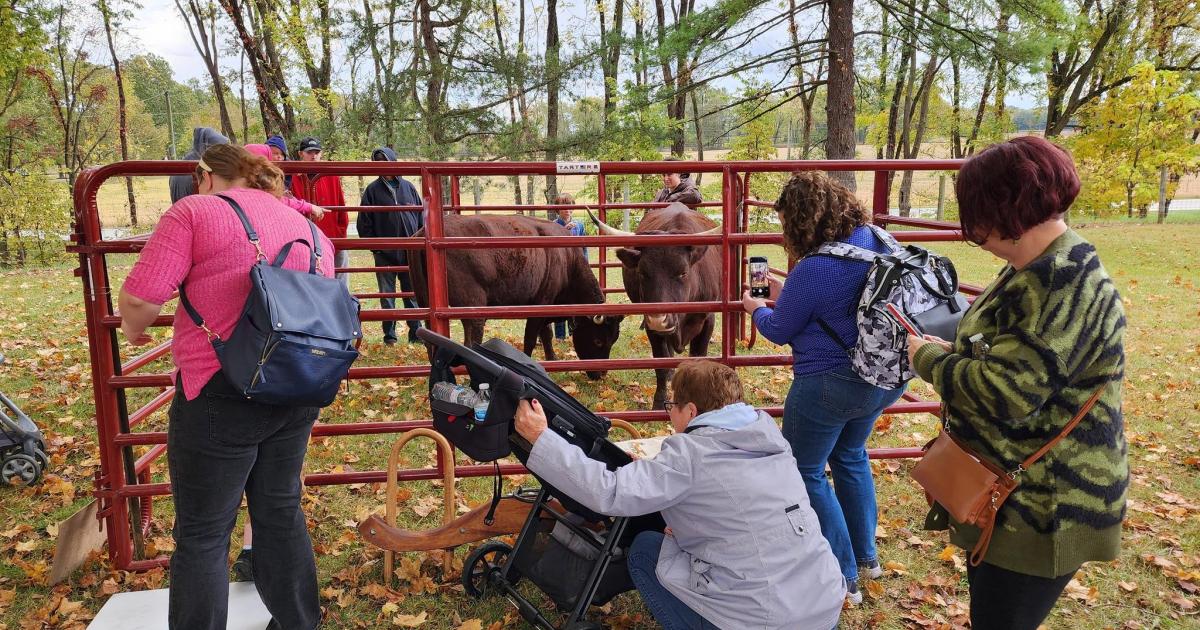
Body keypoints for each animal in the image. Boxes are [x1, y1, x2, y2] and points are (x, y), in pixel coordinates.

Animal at [410, 211, 624, 379]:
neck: (567, 261)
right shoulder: (539, 306)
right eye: (598, 341)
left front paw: (552, 358)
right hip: (473, 309)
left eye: (613, 341)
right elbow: (530, 338)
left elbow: (546, 335)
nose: (600, 375)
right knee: (470, 343)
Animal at [590, 202, 720, 408]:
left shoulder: (708, 321)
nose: (659, 320)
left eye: (683, 272)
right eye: (642, 273)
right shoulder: (651, 326)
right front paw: (659, 403)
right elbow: (661, 363)